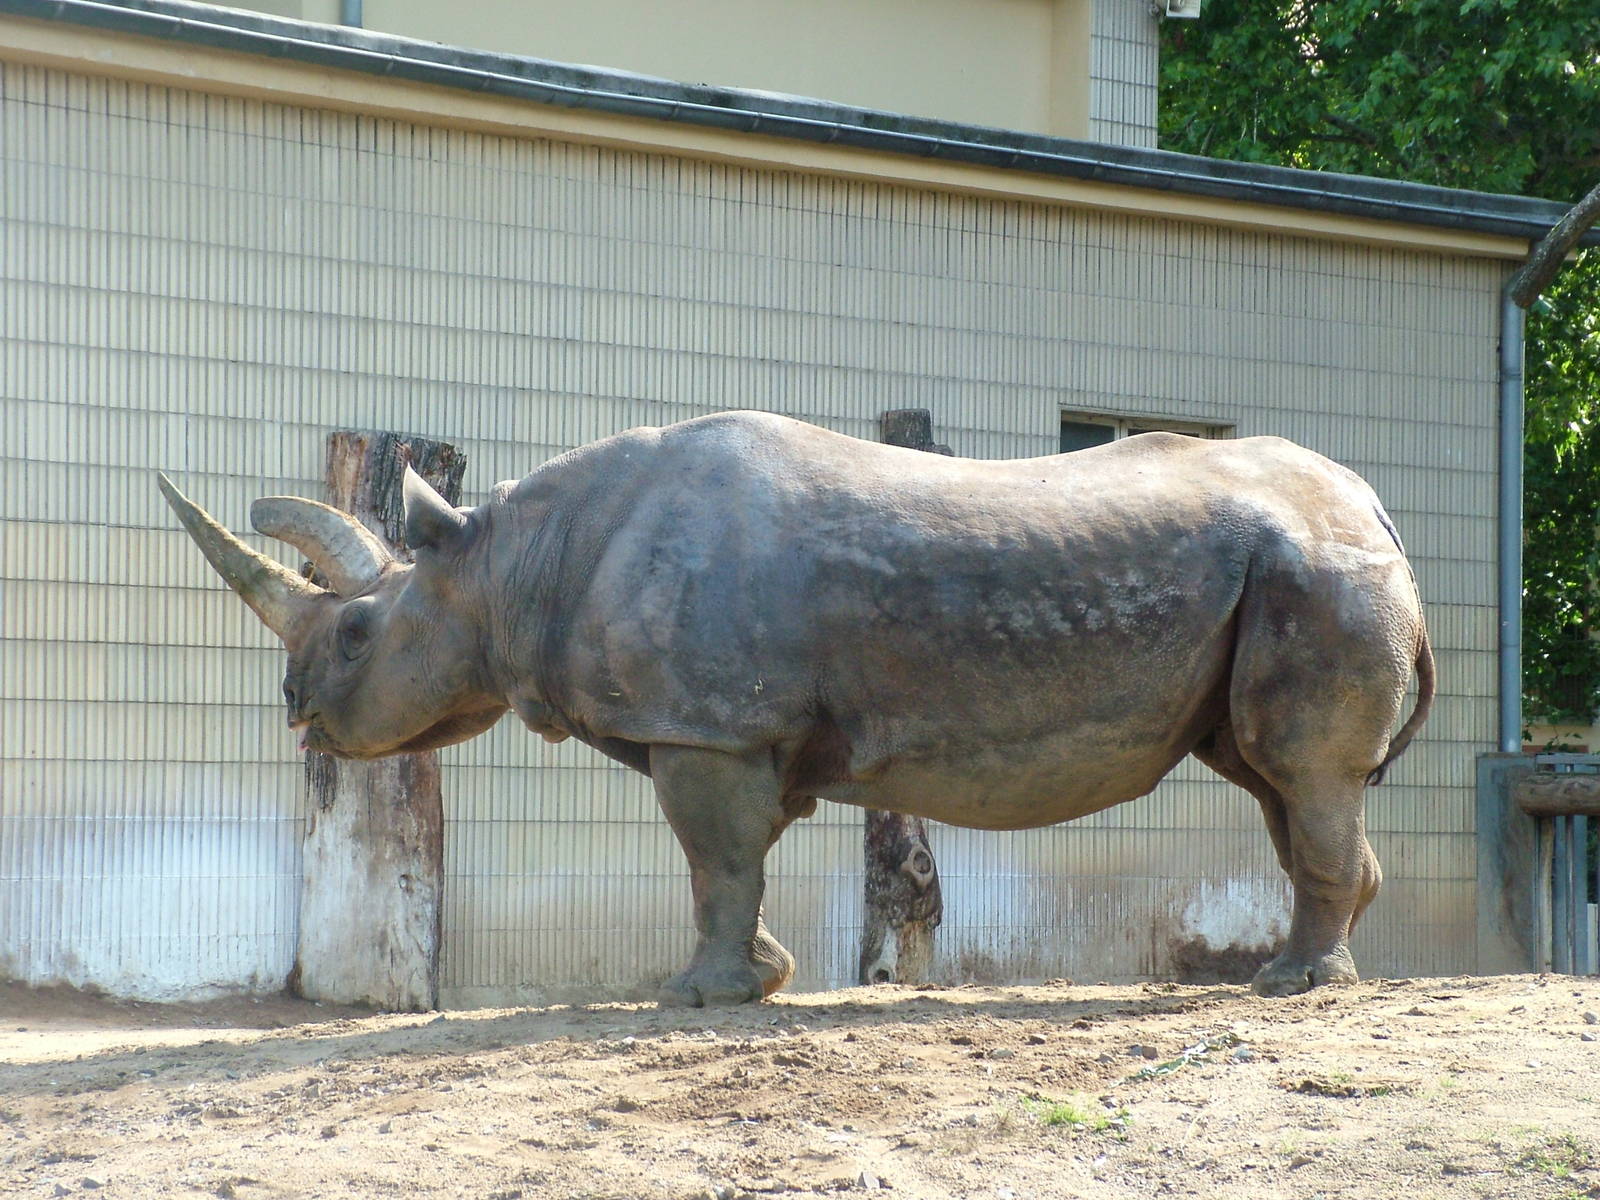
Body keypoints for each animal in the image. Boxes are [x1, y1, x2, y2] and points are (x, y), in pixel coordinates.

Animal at [159, 410, 1433, 1004]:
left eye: (358, 634)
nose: (295, 710)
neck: (510, 560)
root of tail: (1376, 509)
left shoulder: (707, 723)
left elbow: (713, 859)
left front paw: (696, 998)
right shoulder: (731, 725)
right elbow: (736, 859)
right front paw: (764, 977)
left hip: (1313, 572)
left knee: (1298, 772)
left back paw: (1294, 987)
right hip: (1287, 574)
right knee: (1269, 779)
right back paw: (1306, 968)